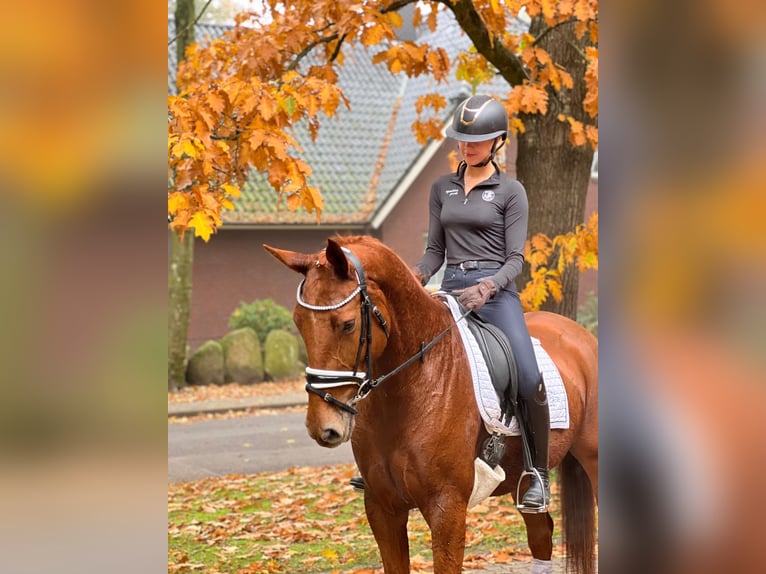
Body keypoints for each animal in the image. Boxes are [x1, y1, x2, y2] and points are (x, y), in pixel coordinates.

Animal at [264, 235, 600, 574]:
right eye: (298, 321)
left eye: (347, 325)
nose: (323, 426)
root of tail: (582, 335)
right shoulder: (382, 509)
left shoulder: (446, 508)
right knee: (542, 535)